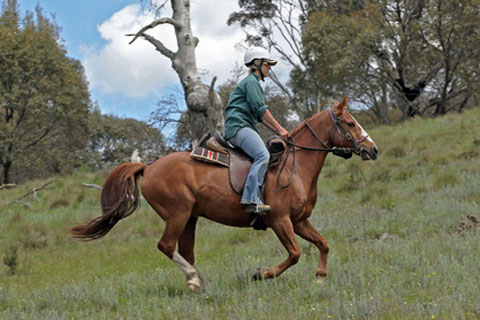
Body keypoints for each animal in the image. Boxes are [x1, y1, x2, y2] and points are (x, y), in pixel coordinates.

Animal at [71, 97, 378, 292]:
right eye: (350, 123)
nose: (373, 149)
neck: (296, 164)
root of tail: (148, 166)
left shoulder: (299, 221)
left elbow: (323, 244)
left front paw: (320, 277)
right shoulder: (280, 221)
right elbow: (294, 254)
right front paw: (261, 274)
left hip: (190, 218)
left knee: (185, 251)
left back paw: (201, 283)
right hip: (178, 214)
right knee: (166, 246)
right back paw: (194, 280)